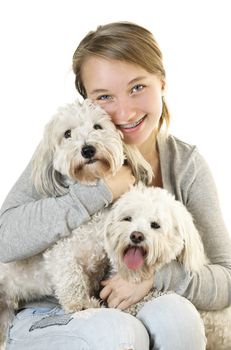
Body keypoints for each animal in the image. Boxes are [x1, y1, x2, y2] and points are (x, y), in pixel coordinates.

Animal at [0, 98, 152, 348]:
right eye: (67, 134)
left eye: (98, 127)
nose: (87, 149)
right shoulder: (60, 254)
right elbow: (70, 276)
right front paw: (81, 304)